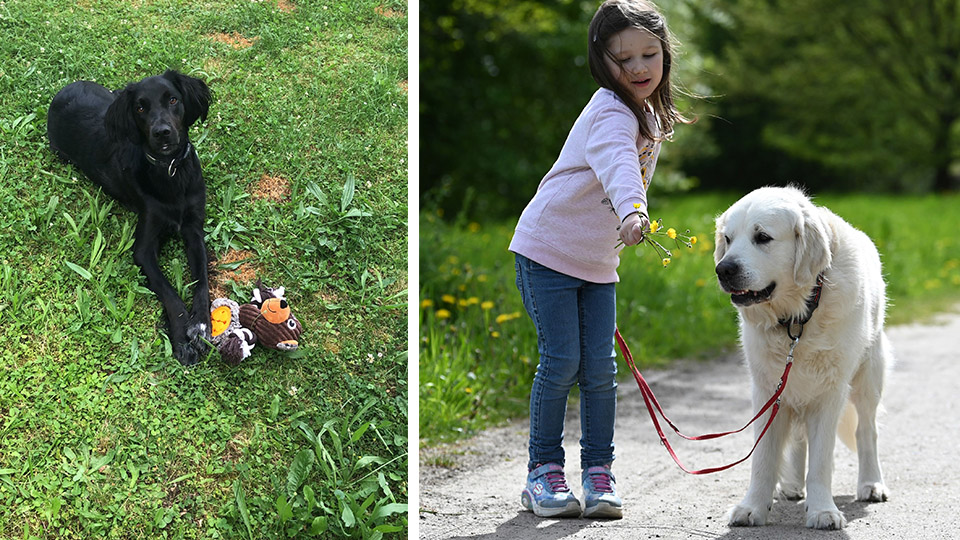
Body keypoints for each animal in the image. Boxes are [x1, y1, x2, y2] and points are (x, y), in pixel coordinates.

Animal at [47, 71, 212, 364]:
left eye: (173, 99)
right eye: (140, 108)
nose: (162, 132)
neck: (170, 172)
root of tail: (65, 89)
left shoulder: (194, 230)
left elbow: (202, 280)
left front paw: (201, 325)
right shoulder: (143, 249)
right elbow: (168, 291)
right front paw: (182, 338)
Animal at [712, 185, 892, 528]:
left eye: (762, 237)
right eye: (728, 239)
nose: (723, 269)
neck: (797, 317)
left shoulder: (829, 392)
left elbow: (821, 460)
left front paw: (822, 510)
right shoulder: (767, 389)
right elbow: (764, 458)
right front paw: (753, 507)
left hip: (868, 377)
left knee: (867, 431)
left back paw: (872, 484)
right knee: (798, 439)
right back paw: (793, 484)